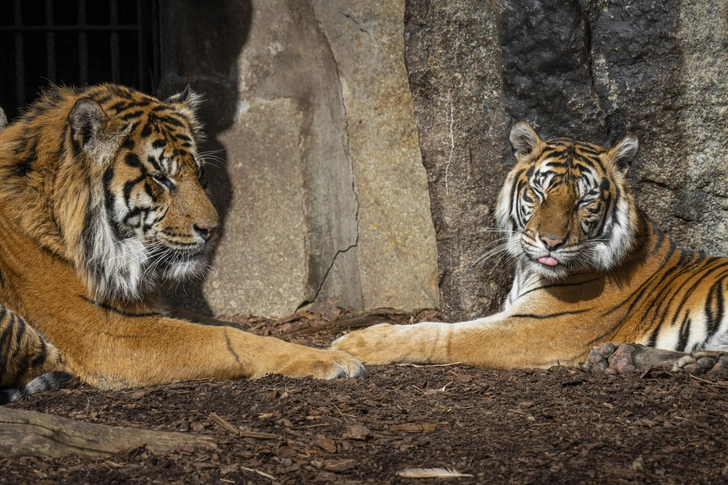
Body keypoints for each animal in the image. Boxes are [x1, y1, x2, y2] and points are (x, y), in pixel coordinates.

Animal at [0, 85, 364, 402]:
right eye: (161, 178)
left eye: (199, 173)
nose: (213, 230)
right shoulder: (109, 334)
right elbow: (228, 339)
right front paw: (332, 359)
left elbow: (223, 323)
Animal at [332, 123, 728, 372]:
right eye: (539, 192)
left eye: (584, 201)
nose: (550, 242)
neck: (526, 272)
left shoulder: (538, 329)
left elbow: (443, 333)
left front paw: (354, 342)